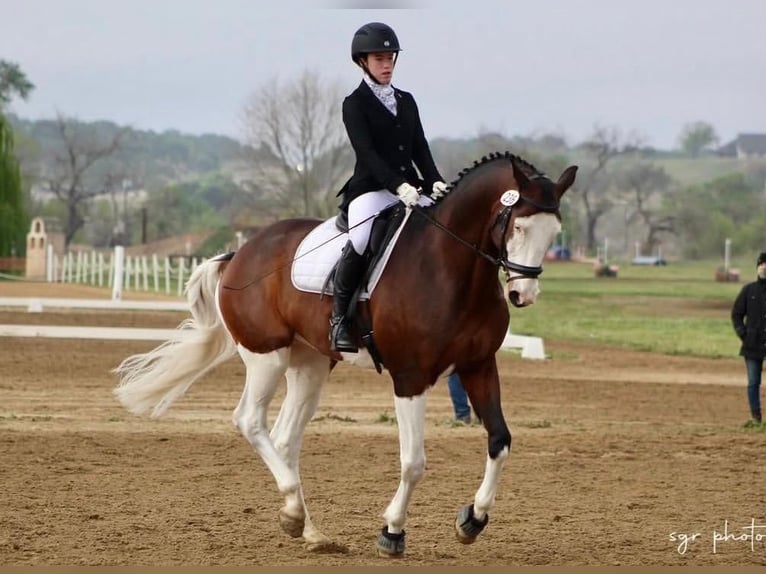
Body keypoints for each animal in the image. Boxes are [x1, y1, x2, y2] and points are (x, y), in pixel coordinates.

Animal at [113, 151, 577, 558]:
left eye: (554, 232)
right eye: (518, 226)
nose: (522, 294)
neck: (452, 269)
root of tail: (240, 252)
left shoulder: (478, 366)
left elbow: (500, 441)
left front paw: (473, 520)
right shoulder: (410, 377)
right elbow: (413, 461)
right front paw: (392, 531)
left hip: (311, 364)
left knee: (284, 437)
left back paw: (307, 529)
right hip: (267, 356)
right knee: (250, 420)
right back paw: (294, 512)